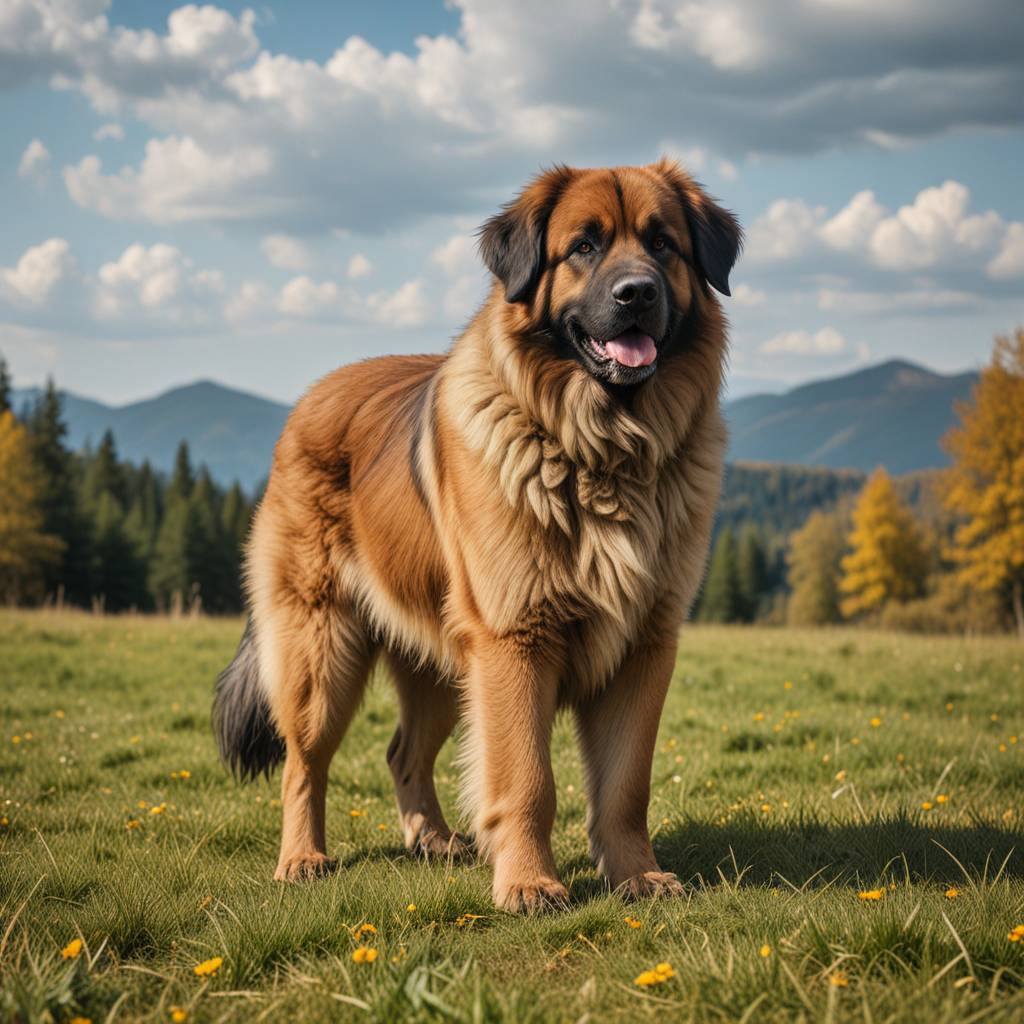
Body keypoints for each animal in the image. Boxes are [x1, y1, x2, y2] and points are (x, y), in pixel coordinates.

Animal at [214, 159, 737, 913]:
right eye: (583, 247)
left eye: (663, 244)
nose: (636, 292)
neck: (601, 451)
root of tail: (307, 401)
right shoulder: (514, 639)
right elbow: (527, 779)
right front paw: (528, 882)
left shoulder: (644, 645)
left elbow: (625, 787)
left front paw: (636, 875)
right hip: (323, 650)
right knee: (303, 763)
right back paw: (303, 858)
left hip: (442, 663)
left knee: (403, 751)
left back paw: (432, 839)